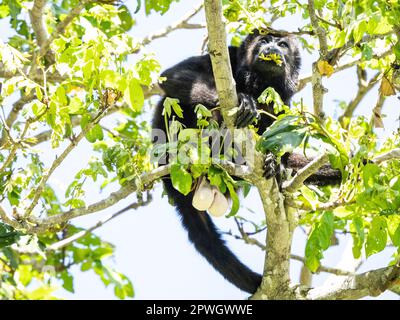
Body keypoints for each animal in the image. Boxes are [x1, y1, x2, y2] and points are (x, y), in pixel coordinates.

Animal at [152, 30, 336, 296]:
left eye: (282, 44)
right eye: (263, 41)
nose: (271, 48)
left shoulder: (285, 98)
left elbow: (280, 128)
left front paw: (276, 163)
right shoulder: (225, 55)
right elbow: (171, 77)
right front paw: (244, 101)